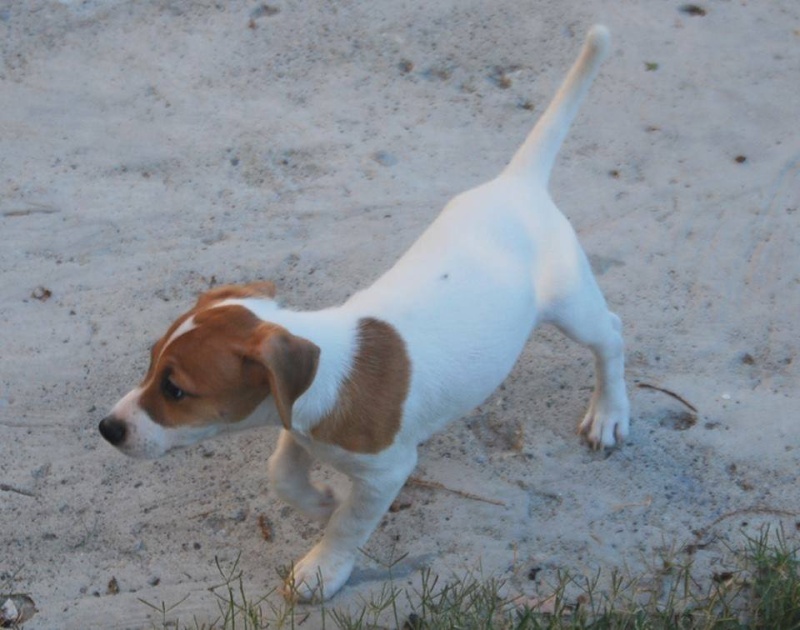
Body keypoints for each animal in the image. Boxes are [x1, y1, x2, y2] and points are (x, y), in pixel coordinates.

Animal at [100, 25, 628, 604]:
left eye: (175, 390)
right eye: (149, 363)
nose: (107, 428)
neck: (334, 368)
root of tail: (517, 184)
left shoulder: (386, 474)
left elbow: (349, 525)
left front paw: (322, 568)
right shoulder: (294, 423)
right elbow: (280, 474)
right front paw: (320, 500)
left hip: (572, 304)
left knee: (611, 337)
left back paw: (609, 413)